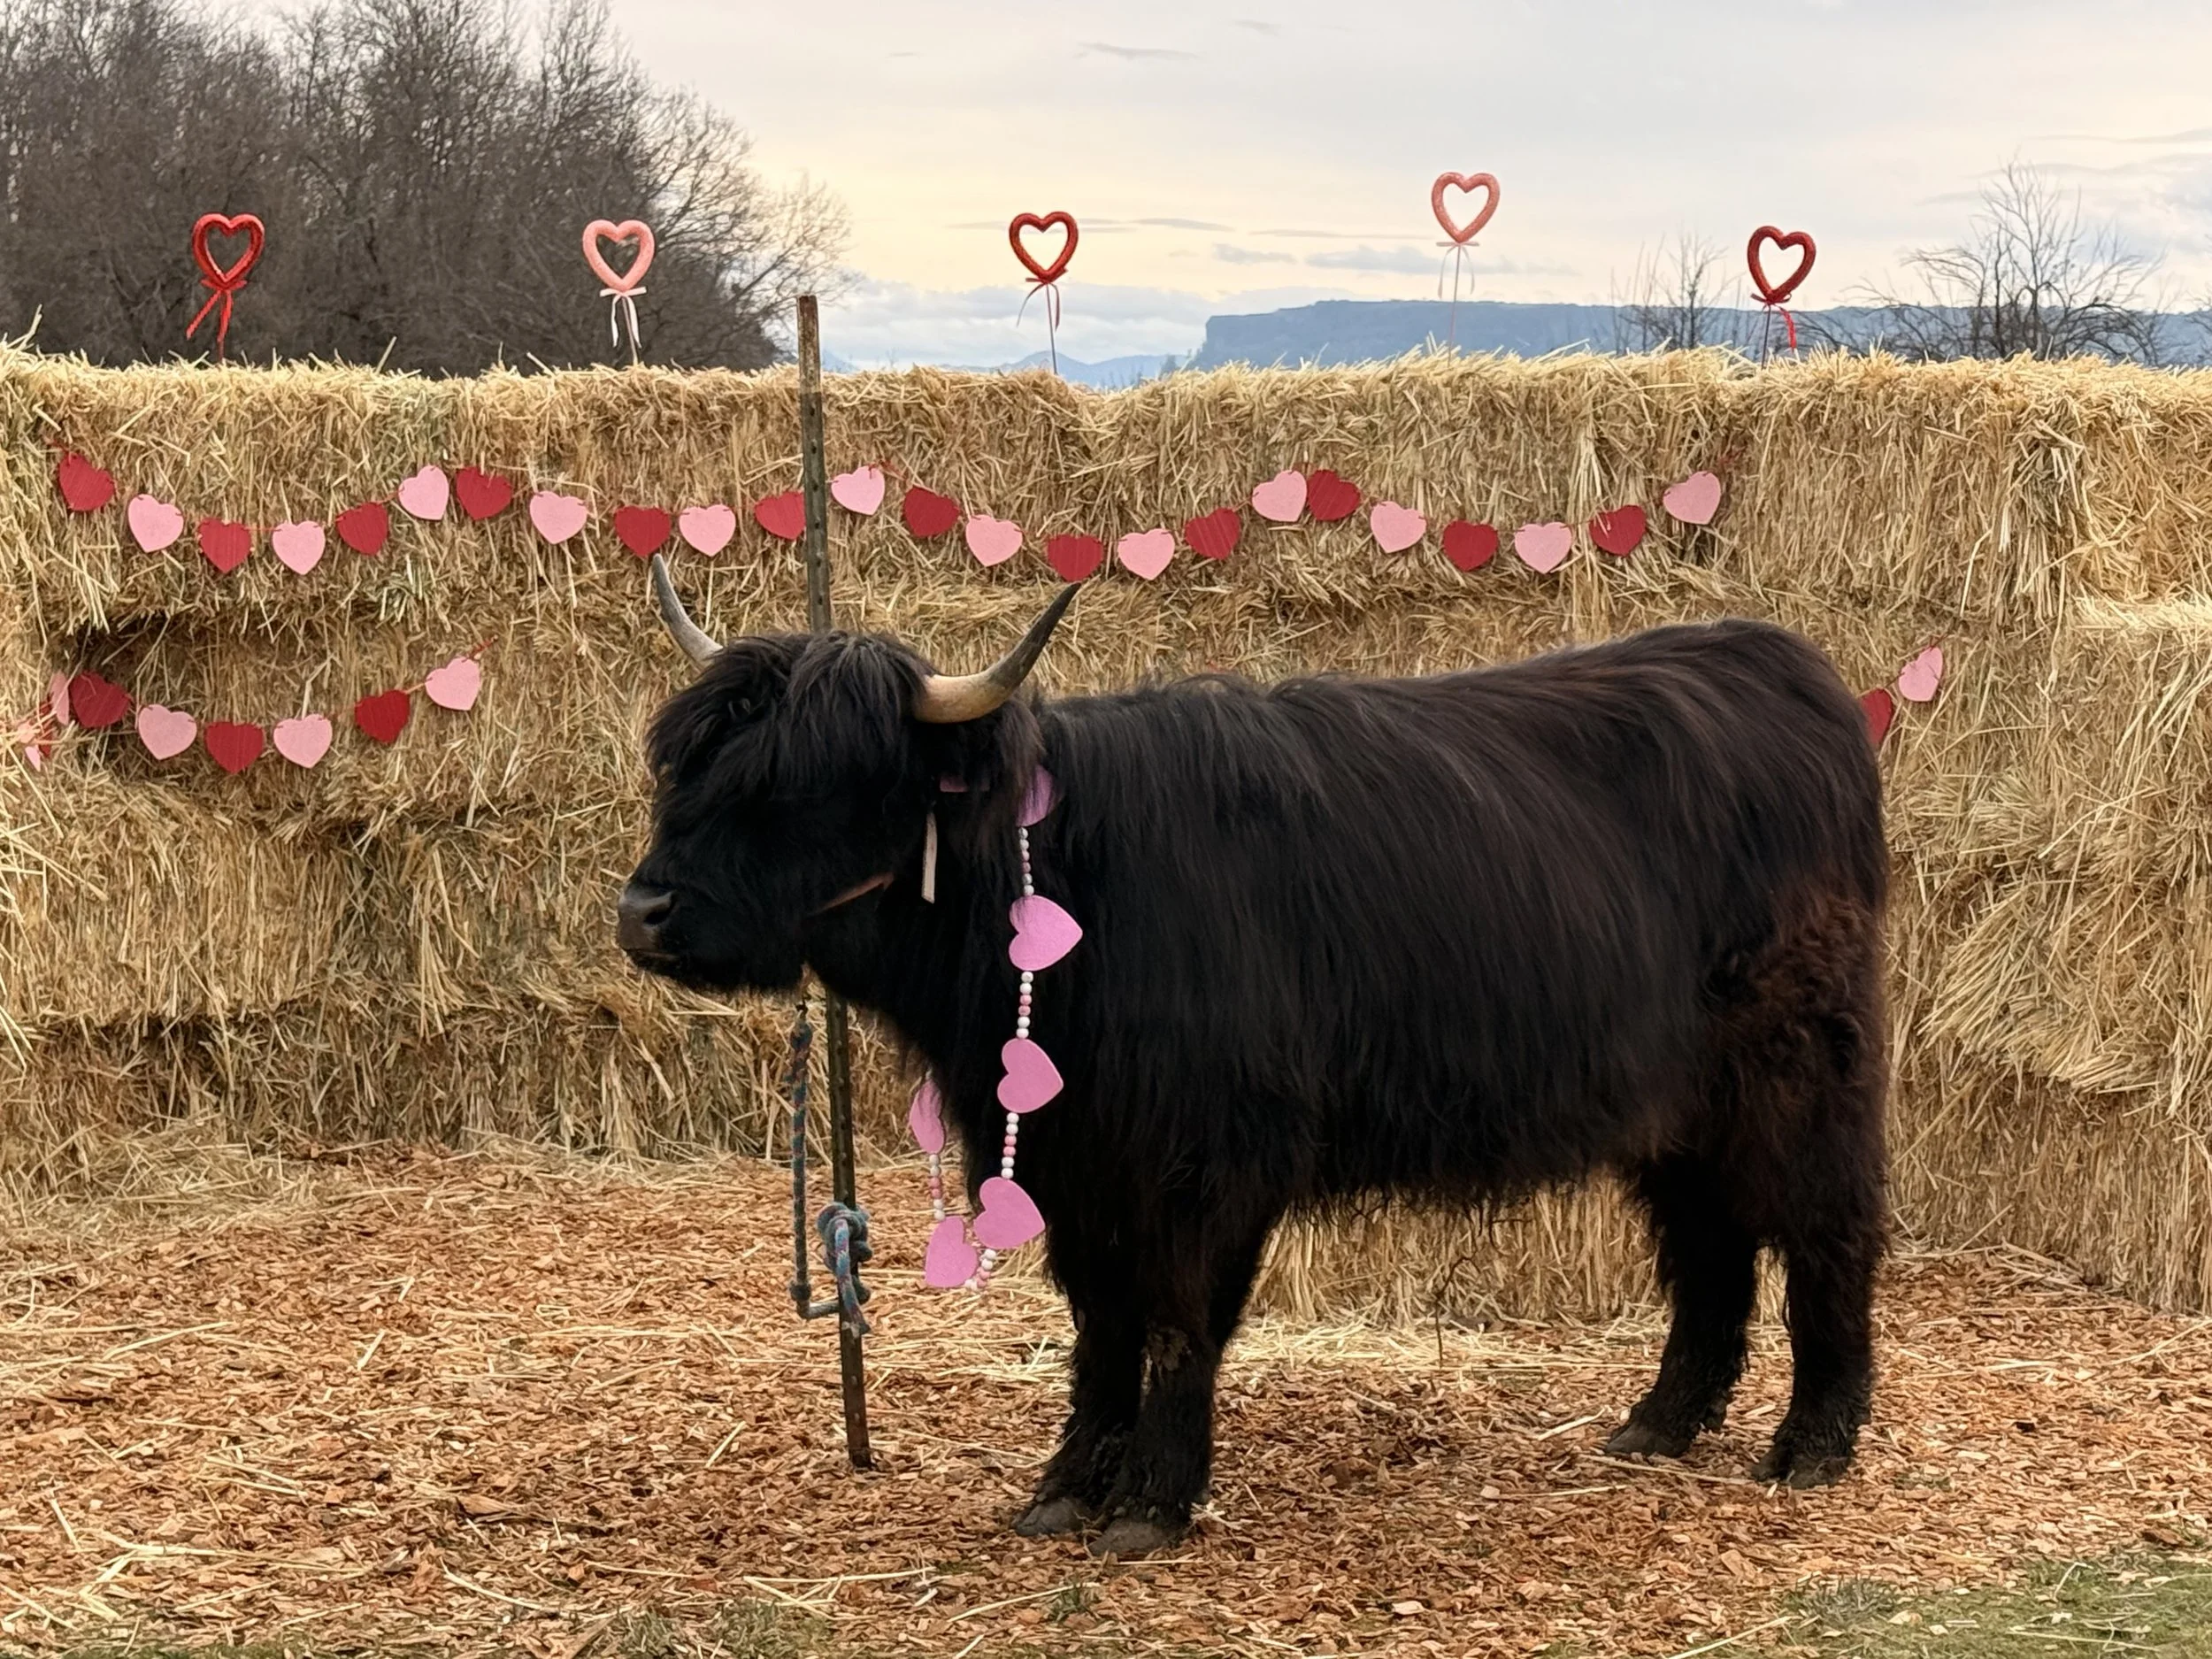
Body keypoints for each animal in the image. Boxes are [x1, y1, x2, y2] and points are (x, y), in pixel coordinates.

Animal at [618, 556, 1889, 1557]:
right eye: (684, 767)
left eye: (804, 784)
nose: (644, 911)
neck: (1072, 892)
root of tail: (1772, 658)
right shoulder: (1074, 1161)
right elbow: (1101, 1320)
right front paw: (1067, 1485)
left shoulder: (1211, 1158)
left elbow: (1181, 1317)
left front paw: (1153, 1500)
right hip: (1678, 1102)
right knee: (1709, 1241)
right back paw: (1661, 1420)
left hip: (1801, 1066)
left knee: (1825, 1227)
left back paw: (1812, 1439)